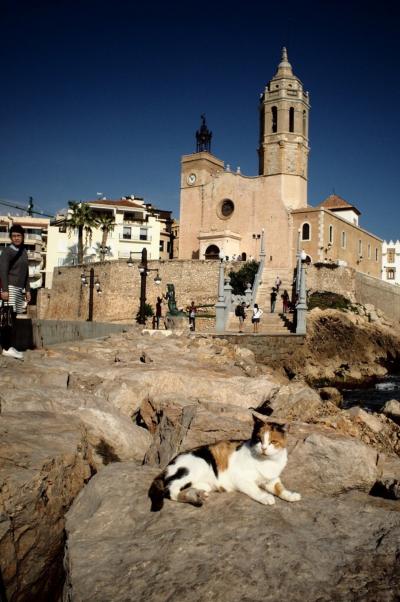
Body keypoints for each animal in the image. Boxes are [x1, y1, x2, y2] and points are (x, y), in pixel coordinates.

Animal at [148, 412, 302, 510]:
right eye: (259, 439)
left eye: (273, 442)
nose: (264, 448)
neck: (267, 461)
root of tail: (168, 465)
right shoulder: (242, 479)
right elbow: (255, 489)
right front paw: (265, 497)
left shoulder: (272, 480)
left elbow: (280, 489)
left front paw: (291, 495)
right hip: (198, 464)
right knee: (170, 490)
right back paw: (194, 499)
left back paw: (199, 494)